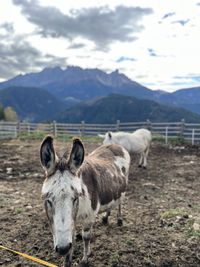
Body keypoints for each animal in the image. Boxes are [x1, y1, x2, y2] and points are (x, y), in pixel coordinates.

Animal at [39, 137, 130, 266]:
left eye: (76, 198)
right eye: (48, 200)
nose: (62, 248)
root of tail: (115, 145)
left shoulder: (89, 217)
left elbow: (86, 237)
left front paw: (85, 260)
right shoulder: (70, 223)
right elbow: (71, 241)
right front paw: (68, 261)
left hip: (124, 184)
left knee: (120, 202)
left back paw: (120, 220)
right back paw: (106, 217)